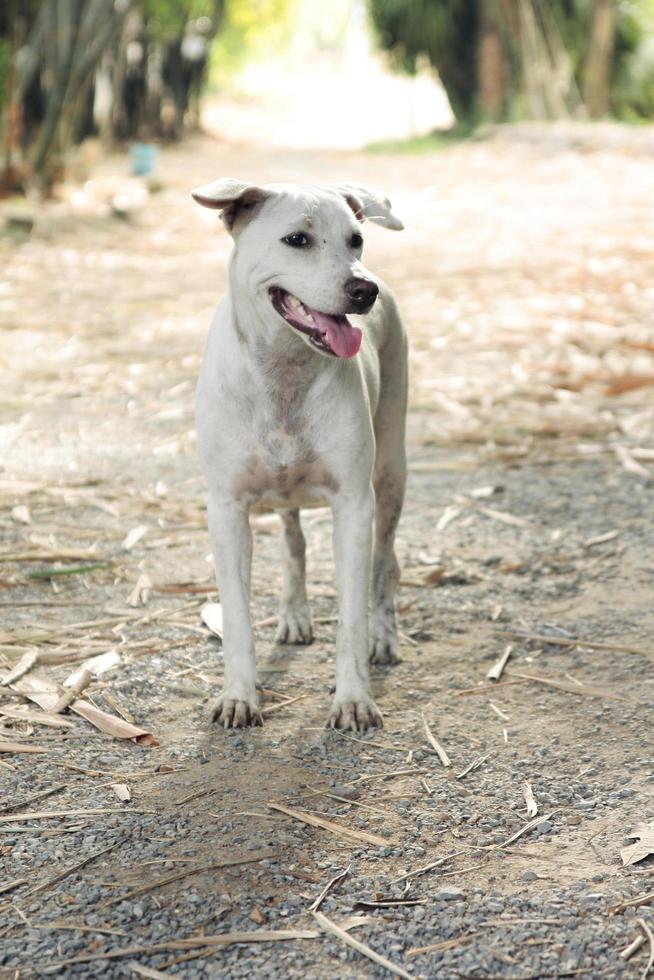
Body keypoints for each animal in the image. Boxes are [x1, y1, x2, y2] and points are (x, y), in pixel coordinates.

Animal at [192, 176, 408, 732]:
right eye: (297, 240)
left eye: (356, 239)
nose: (364, 290)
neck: (285, 371)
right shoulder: (226, 510)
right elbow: (237, 617)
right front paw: (239, 697)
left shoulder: (354, 505)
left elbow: (352, 613)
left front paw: (353, 700)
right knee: (294, 542)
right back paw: (293, 614)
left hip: (391, 473)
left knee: (386, 564)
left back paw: (384, 637)